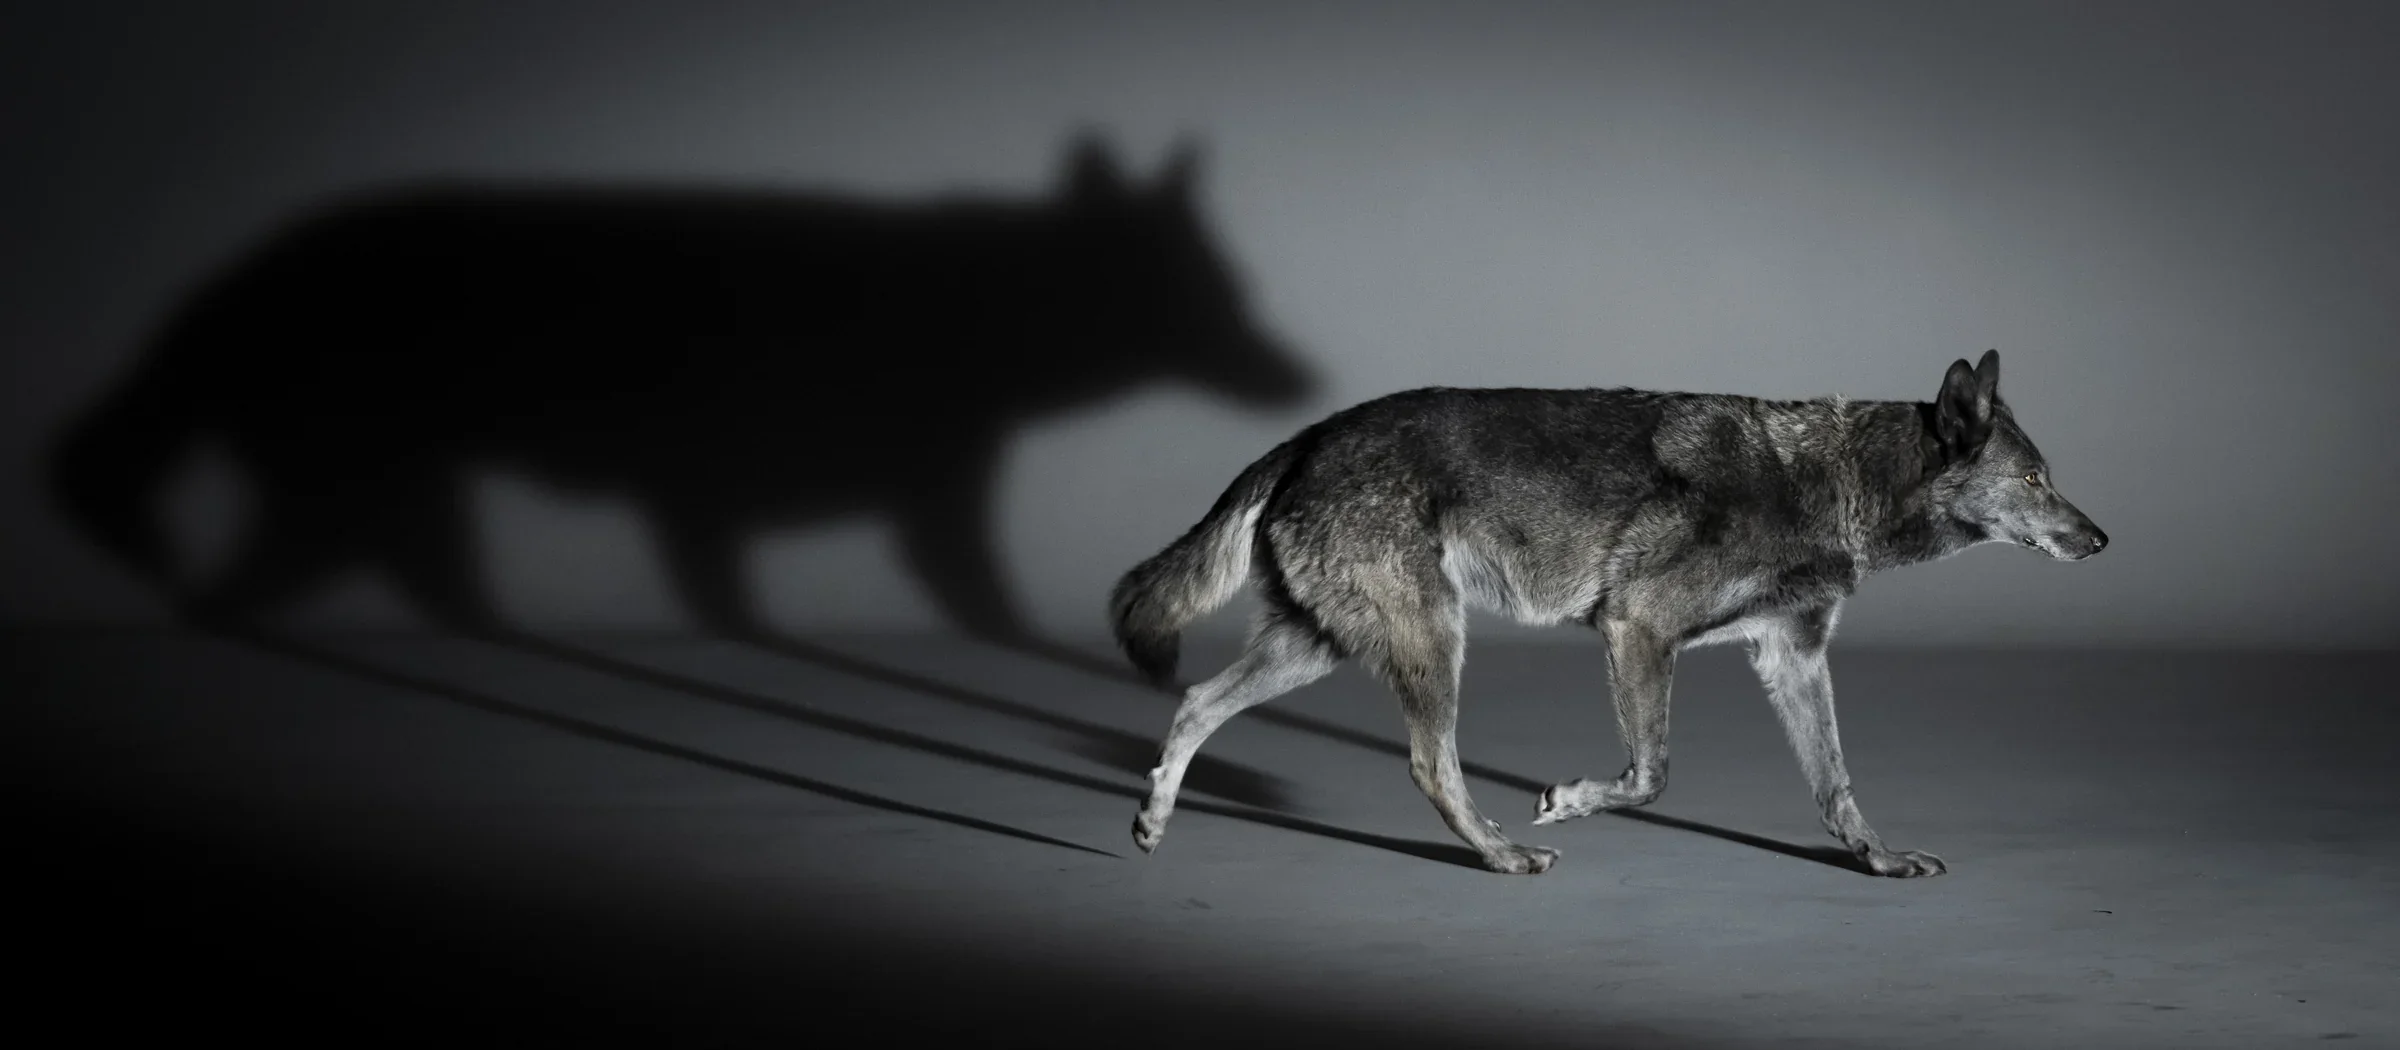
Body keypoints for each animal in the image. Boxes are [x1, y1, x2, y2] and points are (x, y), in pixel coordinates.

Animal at [48, 136, 1309, 644]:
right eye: (1218, 290)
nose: (1298, 373)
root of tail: (227, 286)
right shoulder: (786, 504)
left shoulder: (721, 509)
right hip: (356, 504)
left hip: (380, 509)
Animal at [1110, 350, 2105, 875]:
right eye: (2033, 479)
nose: (2100, 539)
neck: (1834, 479)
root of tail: (1308, 437)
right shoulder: (1638, 629)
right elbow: (1651, 774)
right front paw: (1568, 801)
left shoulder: (1792, 658)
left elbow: (1836, 786)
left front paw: (1880, 860)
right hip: (1428, 642)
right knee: (1432, 764)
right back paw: (1502, 853)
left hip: (1319, 644)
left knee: (1196, 702)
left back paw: (1153, 819)